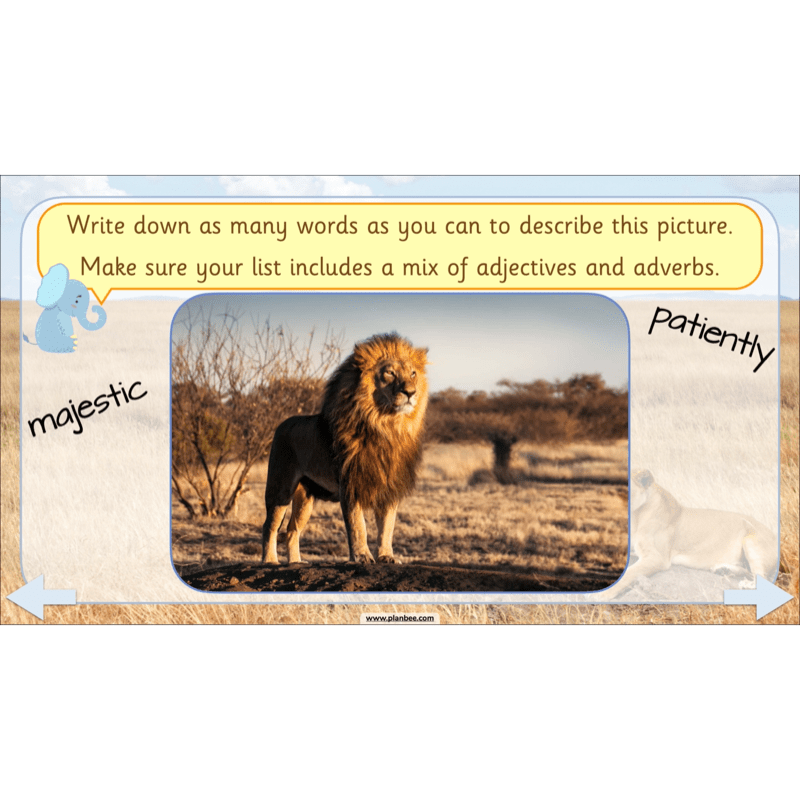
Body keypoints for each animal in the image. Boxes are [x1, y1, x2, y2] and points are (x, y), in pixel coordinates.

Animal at [261, 332, 429, 565]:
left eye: (413, 373)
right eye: (390, 373)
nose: (411, 392)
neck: (386, 426)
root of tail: (281, 424)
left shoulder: (389, 485)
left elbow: (387, 526)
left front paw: (386, 556)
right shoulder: (350, 482)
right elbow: (358, 525)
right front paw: (361, 556)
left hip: (305, 498)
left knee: (292, 530)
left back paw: (296, 562)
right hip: (280, 488)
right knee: (270, 526)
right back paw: (269, 561)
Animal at [605, 468, 779, 599]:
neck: (636, 517)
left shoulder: (657, 557)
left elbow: (629, 574)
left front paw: (602, 595)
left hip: (750, 540)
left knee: (762, 577)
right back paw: (723, 570)